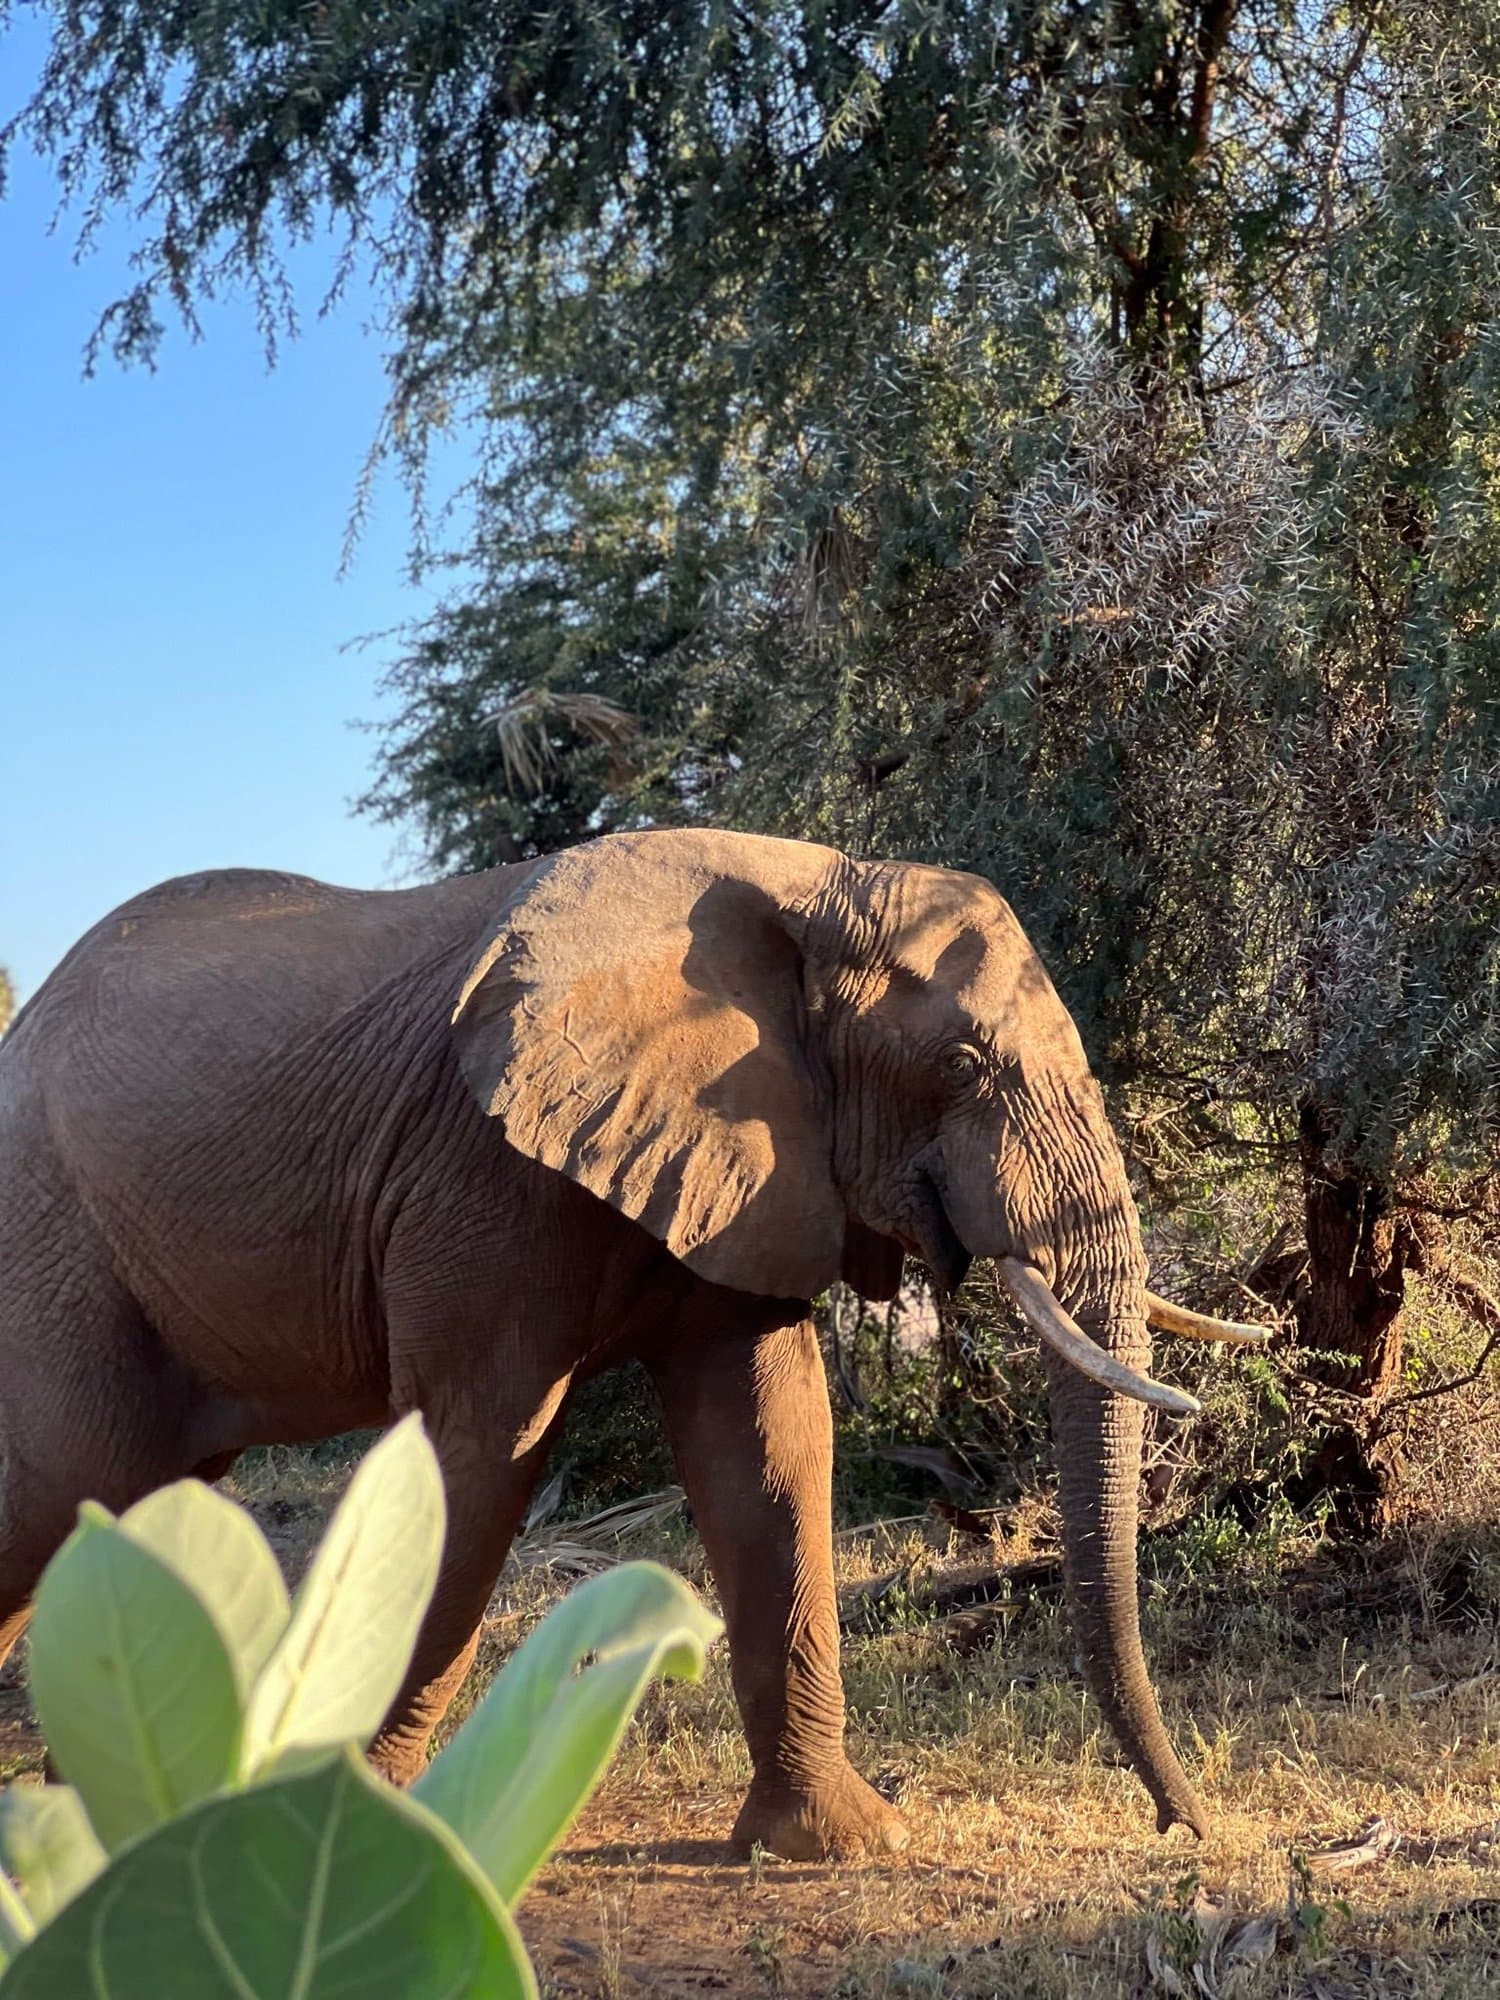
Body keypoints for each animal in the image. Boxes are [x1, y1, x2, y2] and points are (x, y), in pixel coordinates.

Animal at [0, 828, 1264, 1858]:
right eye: (958, 1066)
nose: (1182, 1827)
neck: (808, 887)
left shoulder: (747, 1165)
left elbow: (767, 1442)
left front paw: (843, 1844)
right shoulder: (479, 1173)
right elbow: (476, 1456)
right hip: (53, 1233)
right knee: (60, 1481)